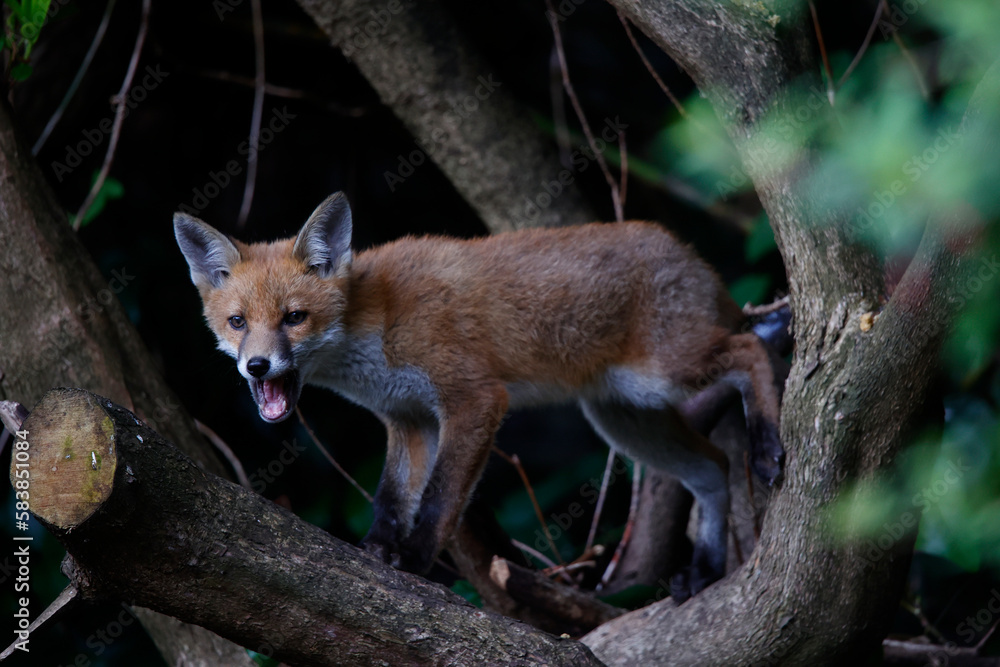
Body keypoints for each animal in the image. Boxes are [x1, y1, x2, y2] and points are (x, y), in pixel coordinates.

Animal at [174, 192, 784, 600]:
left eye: (294, 318)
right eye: (237, 323)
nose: (256, 365)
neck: (376, 326)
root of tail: (686, 250)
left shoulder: (474, 399)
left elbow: (441, 498)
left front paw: (416, 560)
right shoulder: (408, 418)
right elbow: (392, 497)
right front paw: (376, 551)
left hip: (664, 375)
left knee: (751, 349)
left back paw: (767, 446)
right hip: (625, 416)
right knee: (713, 465)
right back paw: (705, 569)